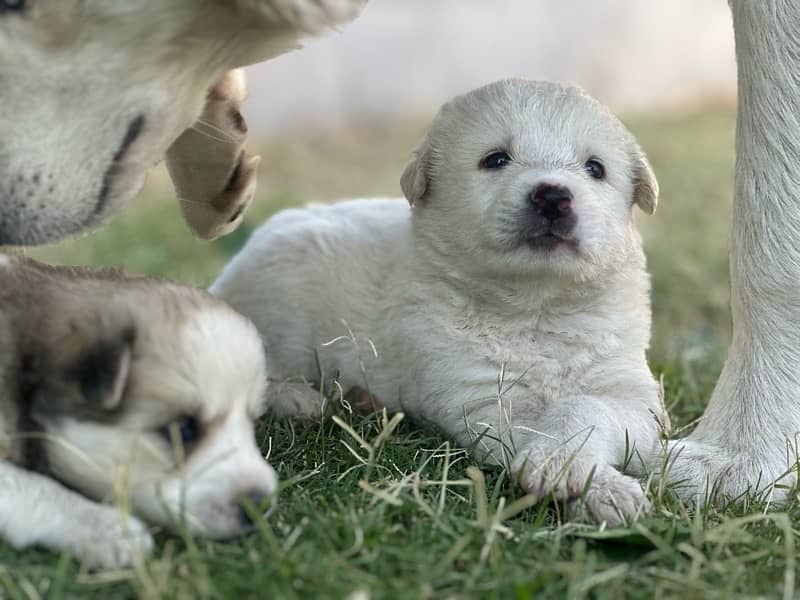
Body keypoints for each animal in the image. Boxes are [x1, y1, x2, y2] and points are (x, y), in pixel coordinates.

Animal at [212, 79, 664, 524]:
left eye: (595, 168)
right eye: (496, 159)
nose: (553, 197)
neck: (537, 307)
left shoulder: (629, 391)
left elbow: (588, 408)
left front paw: (599, 481)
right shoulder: (485, 401)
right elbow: (542, 426)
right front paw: (591, 484)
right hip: (281, 305)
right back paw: (301, 400)